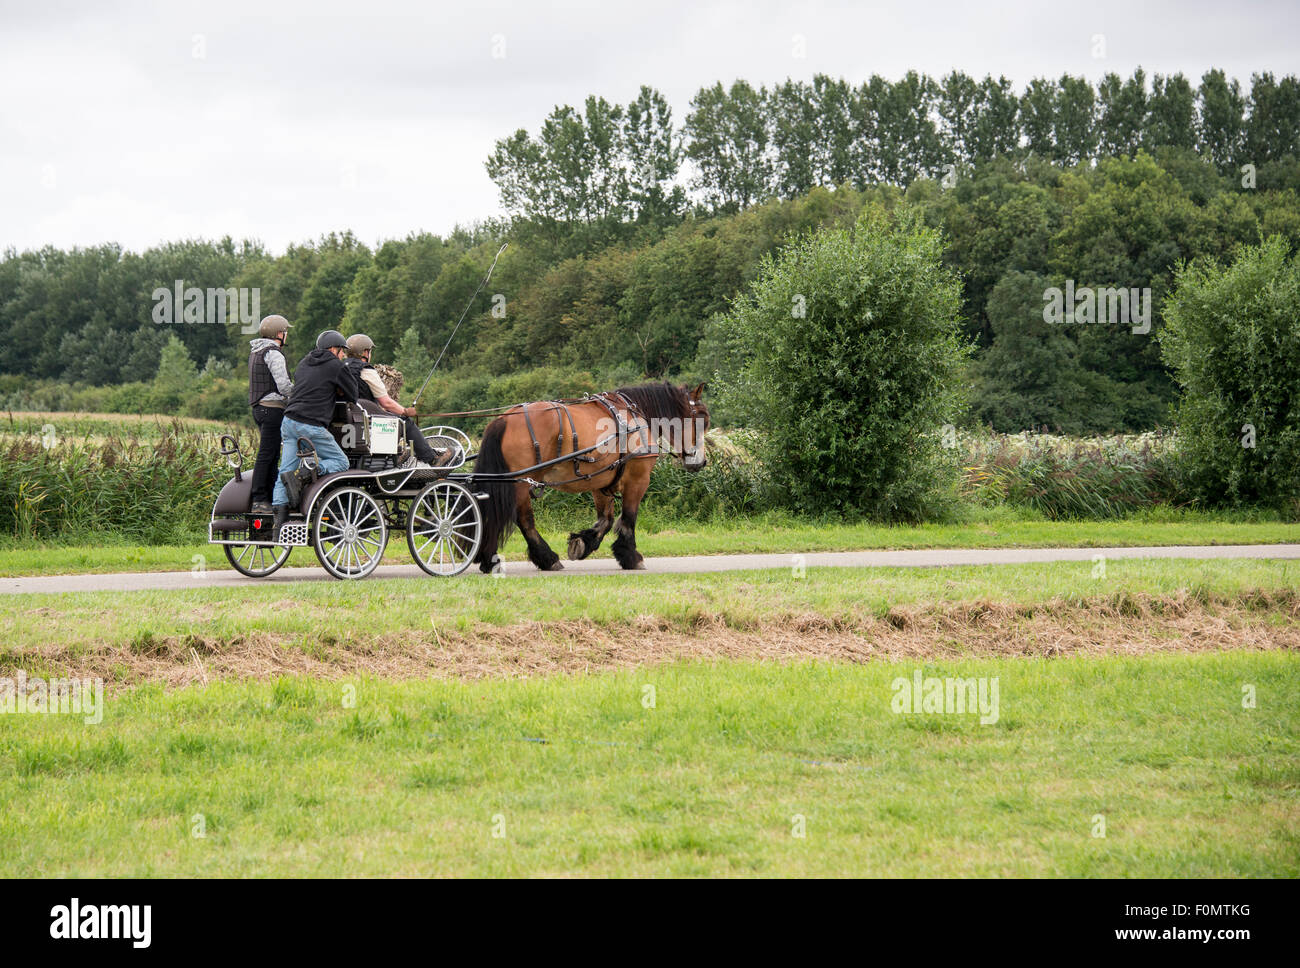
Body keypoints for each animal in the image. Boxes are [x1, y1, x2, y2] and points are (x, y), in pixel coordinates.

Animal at [470, 382, 707, 569]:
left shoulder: (602, 481)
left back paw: (489, 557)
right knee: (524, 519)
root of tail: (503, 419)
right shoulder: (637, 479)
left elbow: (607, 519)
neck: (634, 417)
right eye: (702, 420)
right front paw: (630, 556)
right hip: (520, 481)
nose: (702, 462)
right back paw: (546, 558)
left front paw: (583, 543)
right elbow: (629, 517)